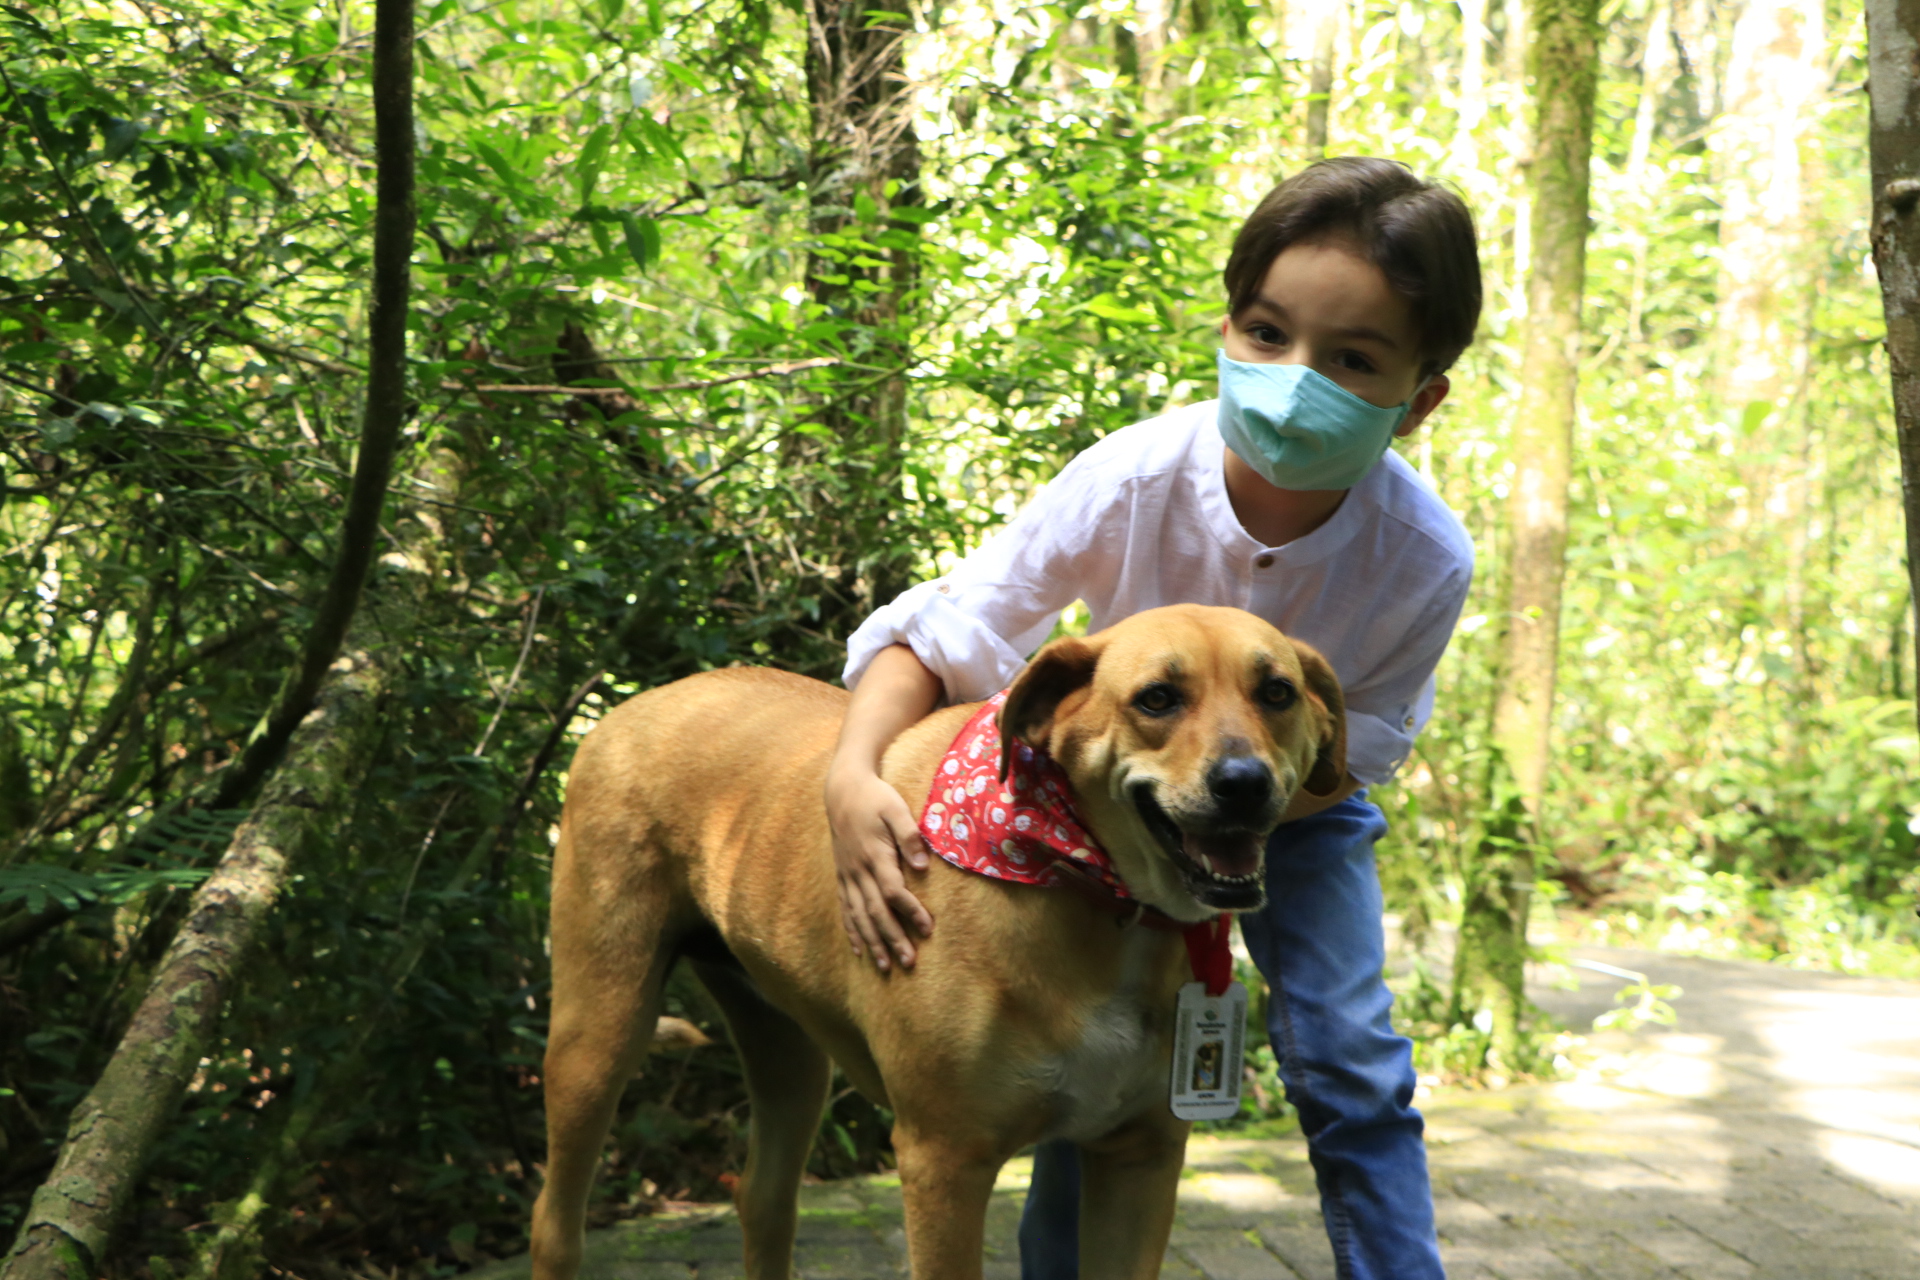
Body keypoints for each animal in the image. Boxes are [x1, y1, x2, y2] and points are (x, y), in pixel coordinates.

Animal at [526, 602, 1336, 1280]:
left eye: (1277, 692)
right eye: (1157, 699)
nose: (1244, 782)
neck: (1091, 892)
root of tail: (629, 707)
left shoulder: (1141, 1156)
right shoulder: (945, 1162)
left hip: (790, 1054)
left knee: (763, 1197)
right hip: (597, 1035)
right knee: (554, 1219)